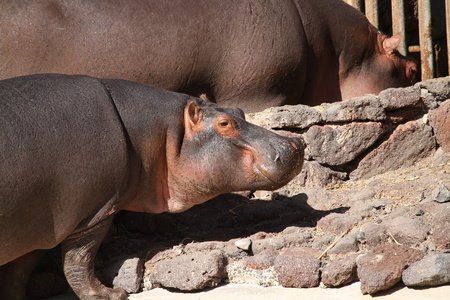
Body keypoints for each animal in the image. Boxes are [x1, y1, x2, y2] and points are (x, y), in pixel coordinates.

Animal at [0, 74, 304, 298]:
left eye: (238, 110)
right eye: (224, 123)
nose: (295, 142)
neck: (159, 132)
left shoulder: (38, 226)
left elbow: (19, 271)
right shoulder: (96, 212)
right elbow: (78, 260)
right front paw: (112, 294)